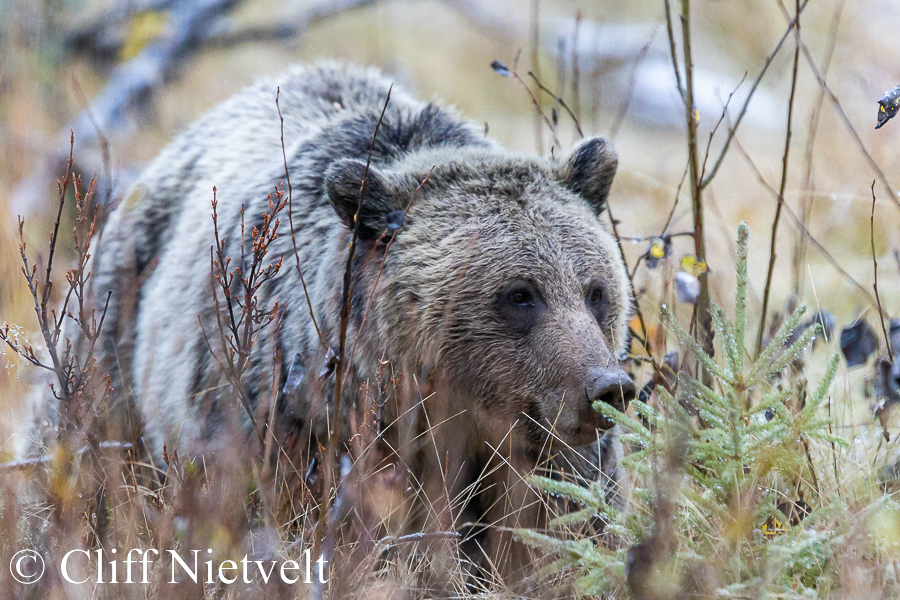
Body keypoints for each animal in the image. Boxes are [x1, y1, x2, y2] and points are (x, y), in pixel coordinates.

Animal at [85, 61, 635, 589]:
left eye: (596, 291)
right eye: (520, 294)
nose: (607, 387)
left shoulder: (551, 458)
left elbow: (568, 523)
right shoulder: (290, 413)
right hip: (119, 330)